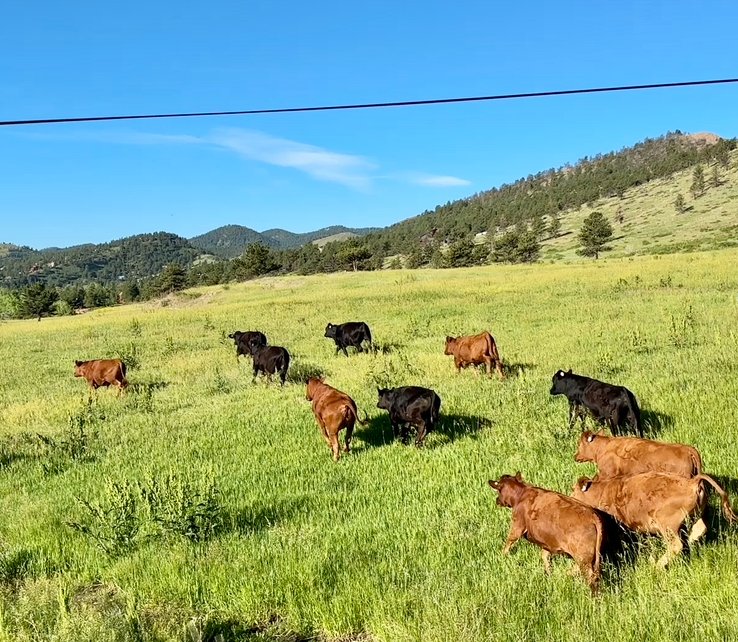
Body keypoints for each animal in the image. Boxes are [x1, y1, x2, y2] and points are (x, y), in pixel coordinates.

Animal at [572, 472, 736, 567]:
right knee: (699, 529)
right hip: (695, 517)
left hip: (667, 526)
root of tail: (691, 482)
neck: (603, 492)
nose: (571, 498)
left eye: (574, 491)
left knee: (676, 545)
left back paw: (656, 566)